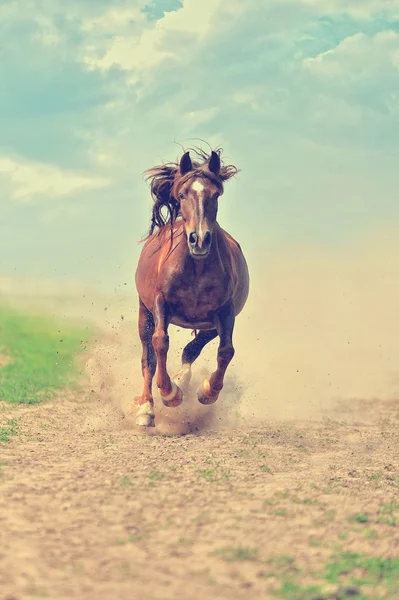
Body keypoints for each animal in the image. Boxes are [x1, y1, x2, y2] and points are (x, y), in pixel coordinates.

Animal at [134, 146, 250, 426]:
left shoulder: (226, 311)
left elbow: (226, 351)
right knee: (148, 358)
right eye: (183, 194)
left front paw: (207, 391)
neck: (196, 268)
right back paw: (146, 408)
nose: (199, 240)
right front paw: (169, 394)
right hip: (144, 313)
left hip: (209, 324)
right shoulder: (160, 304)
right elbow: (160, 343)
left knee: (192, 349)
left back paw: (183, 379)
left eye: (215, 194)